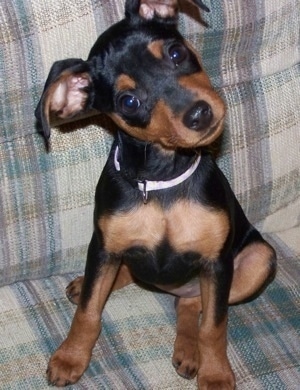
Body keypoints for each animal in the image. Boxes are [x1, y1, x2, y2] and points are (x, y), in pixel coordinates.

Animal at [35, 0, 276, 386]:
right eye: (129, 102)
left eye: (176, 53)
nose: (199, 114)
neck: (162, 182)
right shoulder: (103, 246)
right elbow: (88, 311)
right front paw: (70, 357)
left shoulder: (217, 263)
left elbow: (214, 326)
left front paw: (215, 374)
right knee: (134, 280)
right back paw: (83, 284)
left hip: (258, 259)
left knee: (191, 305)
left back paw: (188, 351)